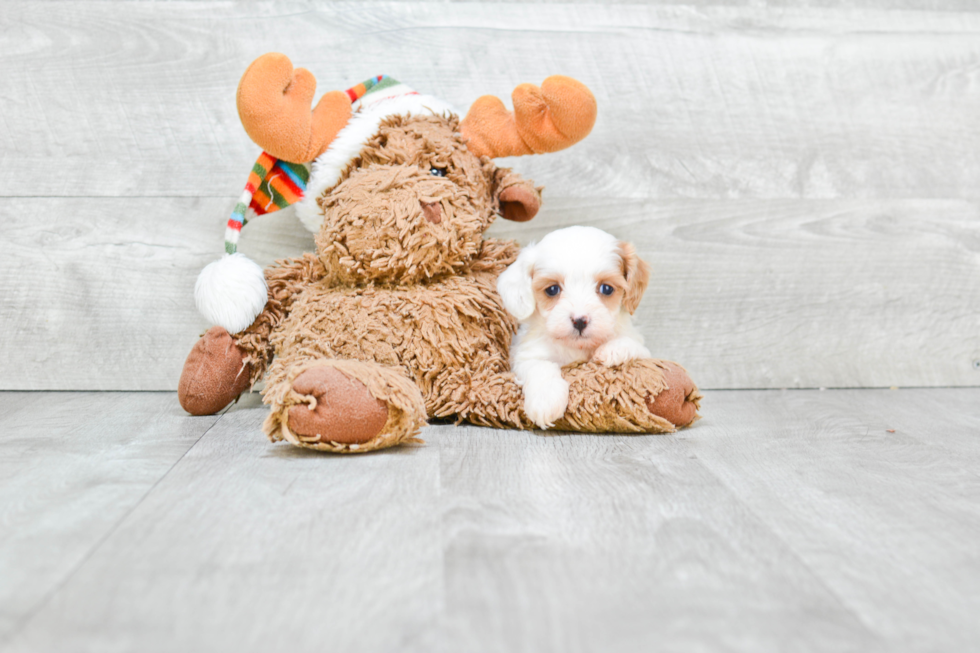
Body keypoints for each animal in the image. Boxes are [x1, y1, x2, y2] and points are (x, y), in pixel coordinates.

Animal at [498, 224, 652, 428]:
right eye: (552, 289)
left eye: (607, 289)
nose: (580, 320)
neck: (577, 347)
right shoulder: (526, 355)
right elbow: (540, 366)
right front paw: (546, 399)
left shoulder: (643, 350)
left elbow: (634, 345)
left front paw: (613, 349)